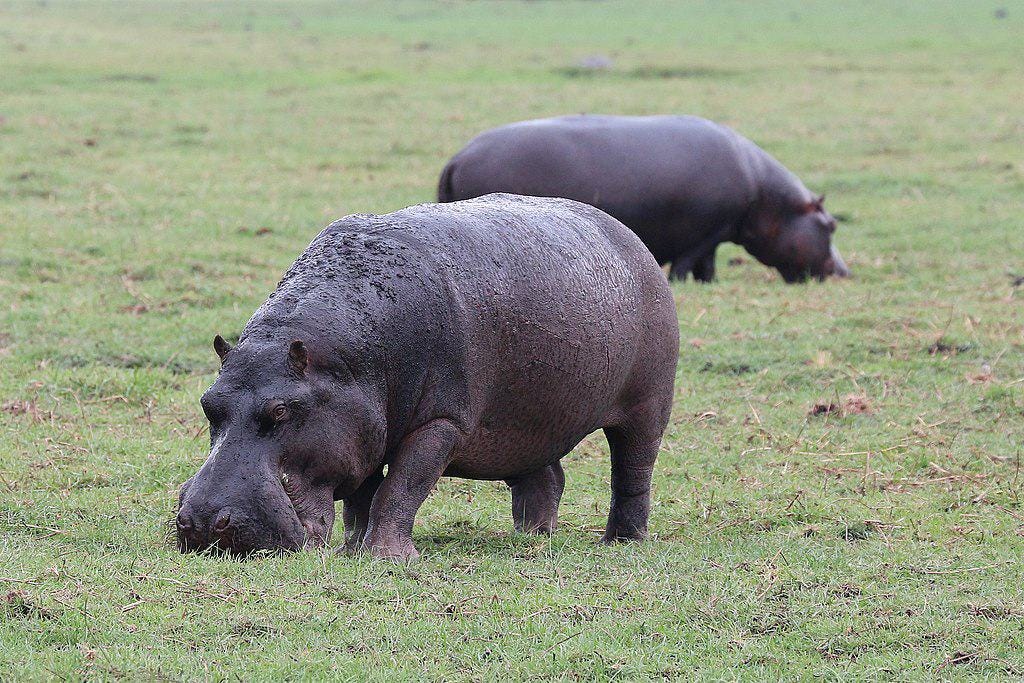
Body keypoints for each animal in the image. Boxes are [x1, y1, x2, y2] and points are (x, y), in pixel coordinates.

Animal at [176, 192, 679, 561]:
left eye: (281, 410)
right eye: (207, 403)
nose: (200, 523)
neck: (334, 361)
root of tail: (631, 238)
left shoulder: (441, 423)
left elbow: (401, 487)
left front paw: (386, 557)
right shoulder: (360, 428)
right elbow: (363, 493)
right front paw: (352, 548)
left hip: (646, 406)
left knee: (633, 470)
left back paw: (621, 540)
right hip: (529, 421)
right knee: (546, 477)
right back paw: (531, 537)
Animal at [440, 114, 847, 282]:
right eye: (830, 224)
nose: (845, 271)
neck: (769, 200)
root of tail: (456, 157)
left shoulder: (715, 235)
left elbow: (707, 267)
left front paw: (708, 284)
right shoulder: (706, 233)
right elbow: (688, 264)